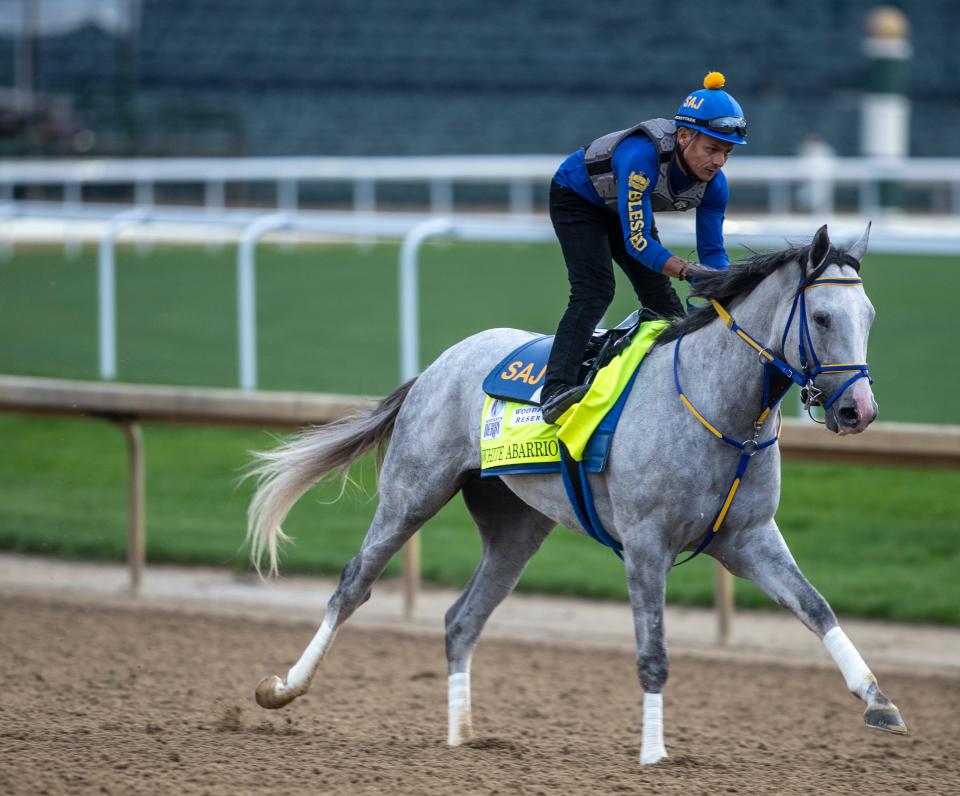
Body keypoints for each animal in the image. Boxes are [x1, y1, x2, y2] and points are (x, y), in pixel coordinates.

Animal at [248, 224, 908, 764]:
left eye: (871, 315)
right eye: (822, 318)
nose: (859, 410)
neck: (715, 404)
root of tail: (437, 365)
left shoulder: (749, 539)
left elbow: (817, 608)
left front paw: (879, 702)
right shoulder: (646, 543)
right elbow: (653, 651)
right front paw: (653, 753)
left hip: (516, 528)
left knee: (462, 619)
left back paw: (462, 736)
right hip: (412, 492)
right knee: (353, 585)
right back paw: (283, 687)